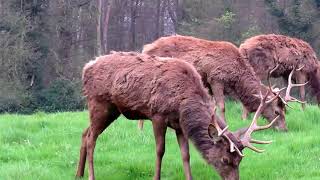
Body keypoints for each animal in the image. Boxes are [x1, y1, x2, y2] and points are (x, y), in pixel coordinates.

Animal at [76, 52, 282, 180]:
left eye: (240, 160)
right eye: (225, 160)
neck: (183, 103)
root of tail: (86, 68)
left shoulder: (180, 125)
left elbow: (186, 154)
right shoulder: (157, 115)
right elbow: (160, 150)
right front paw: (156, 177)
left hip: (111, 110)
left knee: (85, 133)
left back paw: (78, 173)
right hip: (99, 103)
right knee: (91, 138)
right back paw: (91, 175)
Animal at [142, 34, 288, 131]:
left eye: (284, 111)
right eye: (277, 112)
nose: (284, 129)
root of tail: (146, 48)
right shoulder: (216, 79)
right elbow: (221, 106)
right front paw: (224, 126)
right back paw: (141, 129)